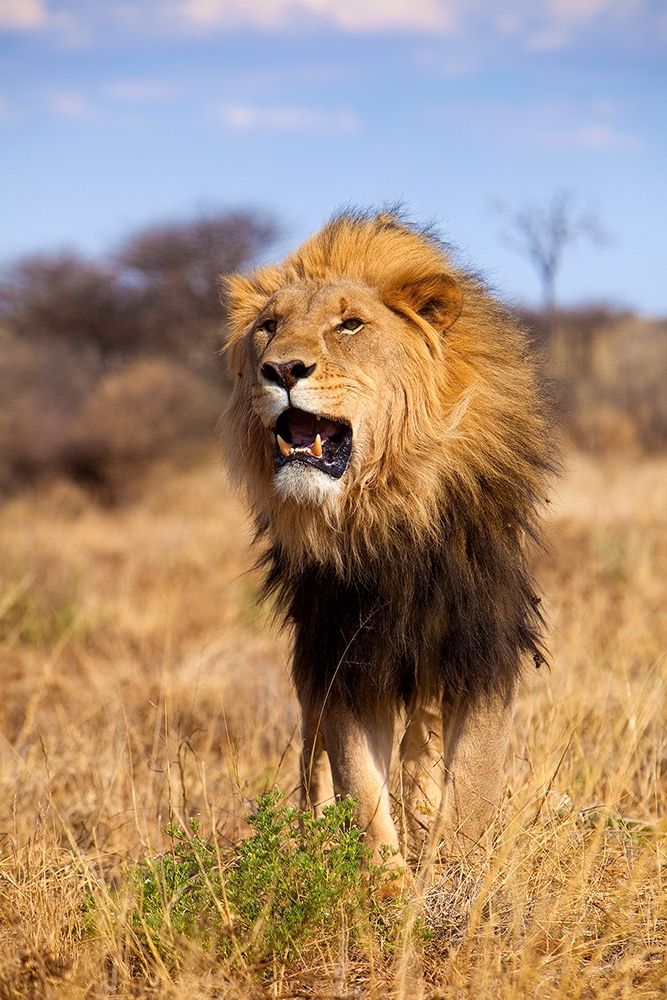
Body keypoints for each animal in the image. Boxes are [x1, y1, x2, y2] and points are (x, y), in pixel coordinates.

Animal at [221, 209, 555, 873]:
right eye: (269, 328)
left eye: (350, 325)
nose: (282, 370)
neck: (385, 513)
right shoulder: (343, 656)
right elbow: (361, 791)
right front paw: (387, 885)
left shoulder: (480, 645)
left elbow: (471, 786)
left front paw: (452, 876)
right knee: (315, 766)